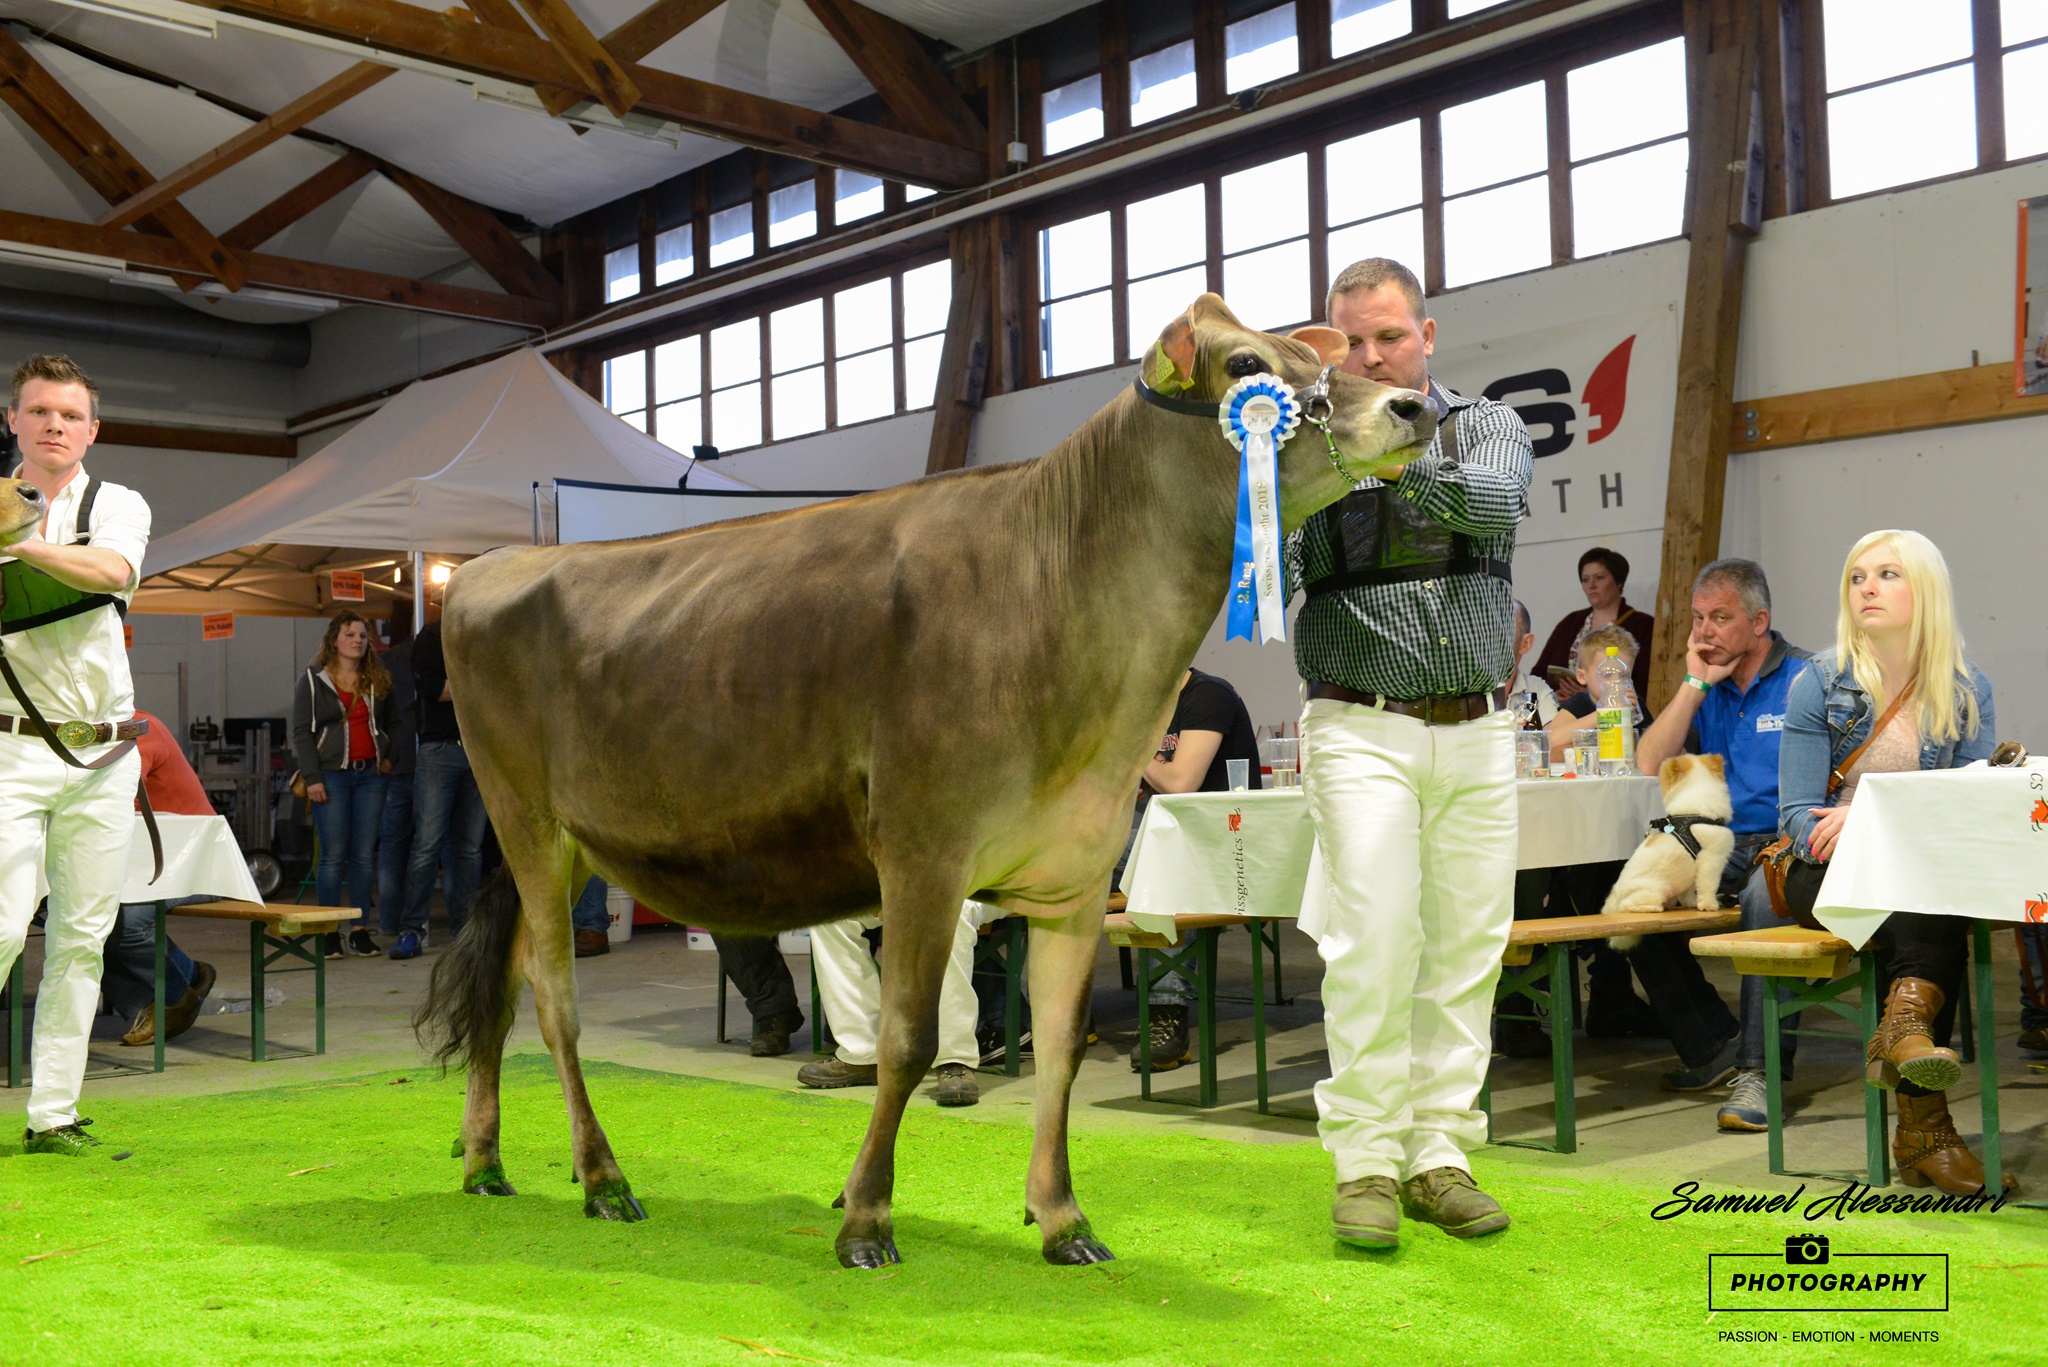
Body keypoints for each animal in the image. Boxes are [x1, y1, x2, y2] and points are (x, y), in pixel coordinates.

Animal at [416, 294, 1434, 1269]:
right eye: (1250, 365)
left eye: (1319, 356)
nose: (1415, 405)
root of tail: (494, 563)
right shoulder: (922, 850)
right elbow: (905, 1040)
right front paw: (865, 1218)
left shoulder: (1073, 874)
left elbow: (1059, 1045)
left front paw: (1062, 1219)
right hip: (526, 817)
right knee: (555, 1002)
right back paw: (602, 1178)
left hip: (566, 845)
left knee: (502, 986)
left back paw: (485, 1160)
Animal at [1602, 754, 1736, 949]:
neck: (1694, 813)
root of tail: (1615, 894)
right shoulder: (1711, 860)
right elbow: (1708, 886)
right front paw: (1709, 905)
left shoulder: (1692, 871)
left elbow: (1690, 891)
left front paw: (1693, 903)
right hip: (1653, 891)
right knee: (1626, 906)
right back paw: (1654, 908)